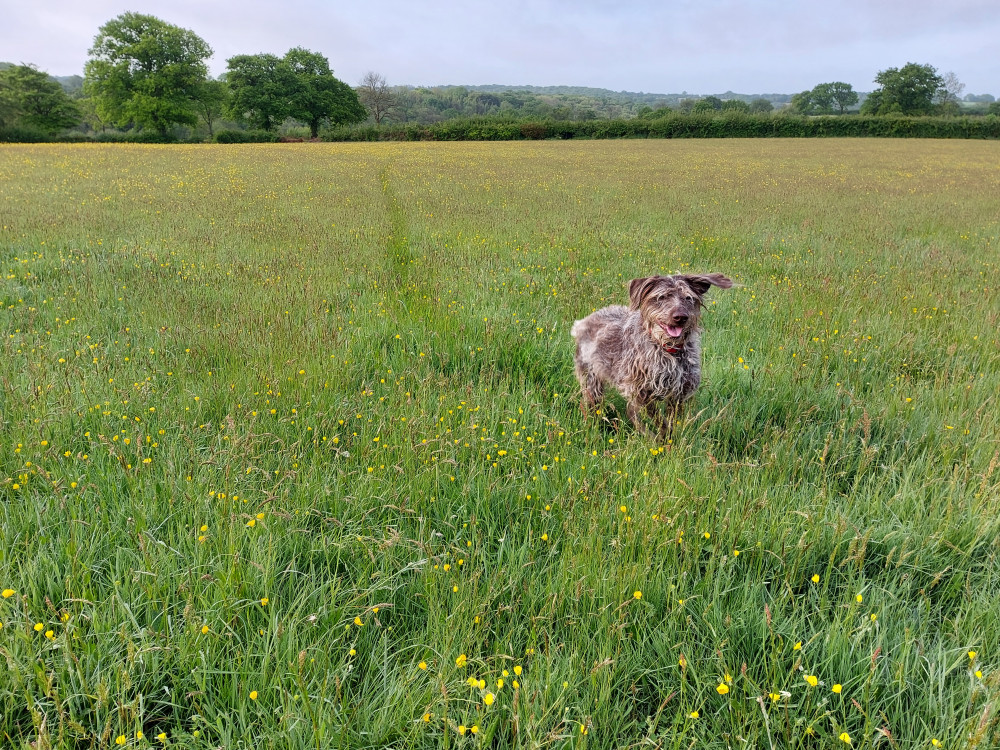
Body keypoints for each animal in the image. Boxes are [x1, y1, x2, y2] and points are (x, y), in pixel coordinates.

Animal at [576, 274, 732, 440]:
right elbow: (661, 422)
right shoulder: (641, 394)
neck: (668, 350)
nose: (680, 317)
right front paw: (664, 440)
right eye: (661, 297)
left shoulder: (678, 394)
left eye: (688, 297)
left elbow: (671, 422)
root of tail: (585, 321)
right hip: (592, 384)